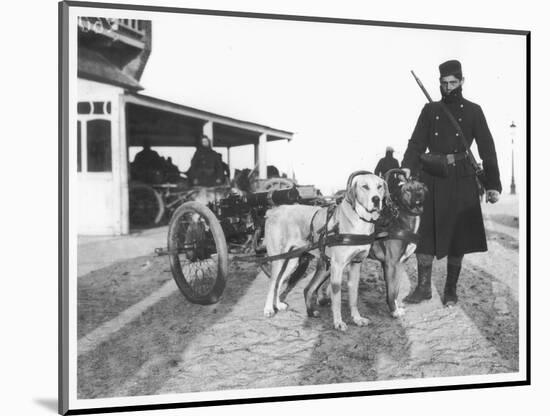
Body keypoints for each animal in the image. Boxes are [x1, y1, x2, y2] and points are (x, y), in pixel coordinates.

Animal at [264, 171, 388, 330]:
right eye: (365, 186)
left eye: (380, 186)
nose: (376, 199)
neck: (359, 219)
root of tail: (274, 210)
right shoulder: (337, 266)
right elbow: (336, 298)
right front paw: (338, 322)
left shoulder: (356, 264)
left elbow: (353, 296)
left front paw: (357, 319)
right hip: (278, 259)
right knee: (273, 282)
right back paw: (268, 309)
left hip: (292, 261)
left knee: (279, 281)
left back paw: (278, 305)